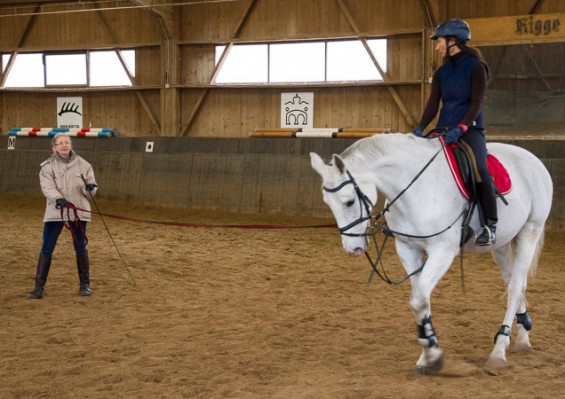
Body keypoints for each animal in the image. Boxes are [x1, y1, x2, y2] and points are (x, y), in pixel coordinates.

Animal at [308, 134, 552, 376]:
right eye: (327, 203)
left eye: (349, 201)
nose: (353, 248)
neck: (414, 188)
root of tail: (532, 158)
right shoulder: (407, 248)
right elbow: (421, 300)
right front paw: (427, 355)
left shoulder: (442, 250)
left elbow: (419, 299)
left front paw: (433, 356)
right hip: (501, 244)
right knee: (512, 282)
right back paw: (523, 336)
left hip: (530, 230)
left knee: (516, 287)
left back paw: (499, 350)